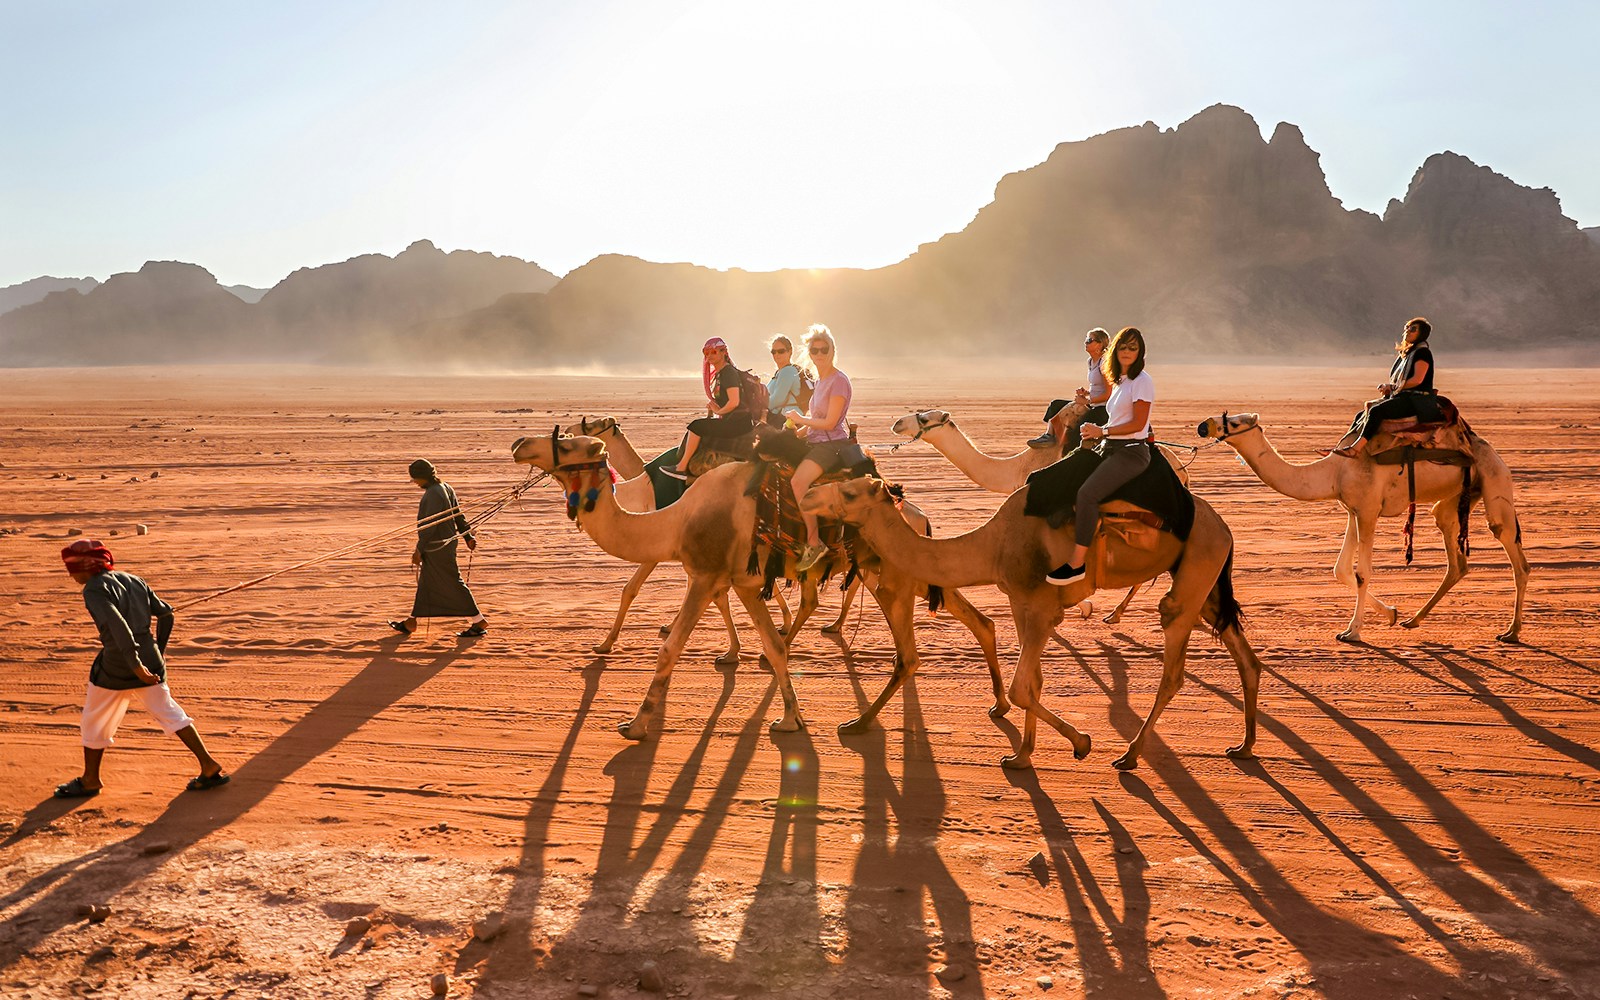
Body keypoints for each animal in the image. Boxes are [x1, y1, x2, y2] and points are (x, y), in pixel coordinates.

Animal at [511, 432, 1010, 738]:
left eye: (569, 443)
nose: (519, 443)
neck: (674, 519)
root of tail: (914, 516)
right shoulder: (745, 583)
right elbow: (772, 645)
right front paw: (790, 718)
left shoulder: (706, 573)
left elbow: (670, 647)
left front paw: (635, 725)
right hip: (908, 573)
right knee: (979, 621)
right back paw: (1000, 705)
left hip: (892, 579)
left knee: (908, 655)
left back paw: (858, 724)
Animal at [802, 476, 1264, 770]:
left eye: (848, 491)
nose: (807, 495)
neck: (993, 545)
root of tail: (1225, 528)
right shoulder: (1021, 601)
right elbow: (1033, 683)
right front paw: (1022, 756)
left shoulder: (1041, 605)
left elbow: (1022, 688)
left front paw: (1081, 744)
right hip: (1207, 585)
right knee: (1246, 659)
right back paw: (1243, 746)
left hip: (1195, 569)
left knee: (1173, 664)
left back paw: (1130, 755)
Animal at [889, 405, 1192, 624]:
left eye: (925, 419)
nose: (897, 423)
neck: (1019, 467)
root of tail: (1180, 468)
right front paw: (1082, 604)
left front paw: (1081, 604)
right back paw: (1117, 612)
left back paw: (1117, 614)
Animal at [1197, 411, 1529, 643]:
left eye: (1235, 422)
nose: (1204, 426)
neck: (1334, 470)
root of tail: (1492, 451)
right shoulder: (1352, 510)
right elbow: (1340, 569)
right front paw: (1392, 614)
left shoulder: (1368, 511)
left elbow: (1362, 572)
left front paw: (1352, 632)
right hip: (1455, 499)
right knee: (1455, 555)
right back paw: (1413, 620)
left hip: (1494, 480)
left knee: (1512, 551)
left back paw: (1511, 632)